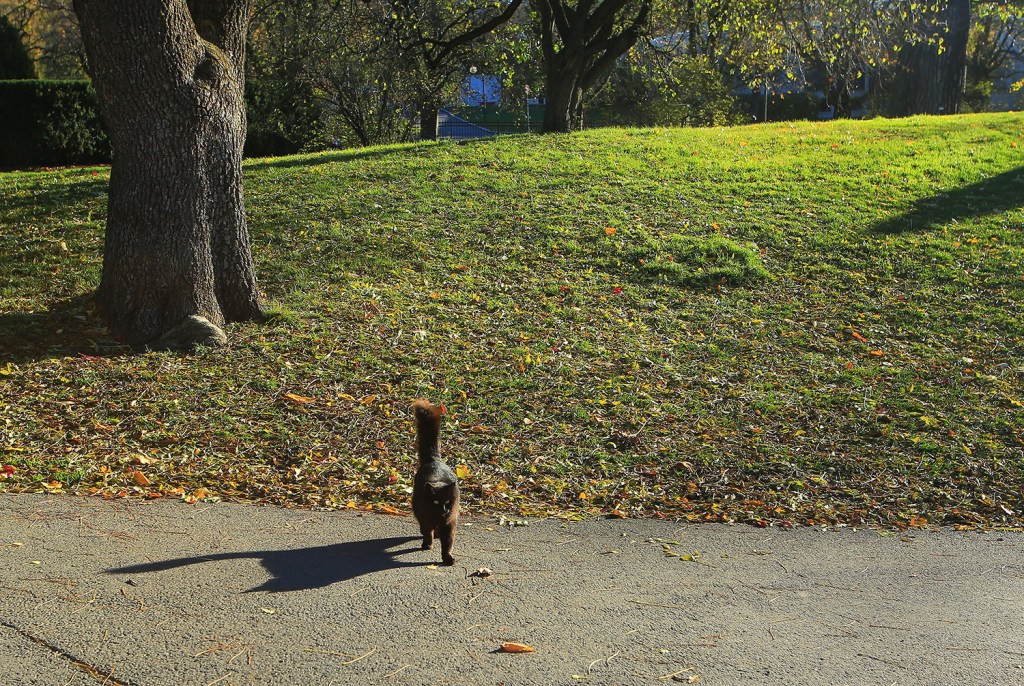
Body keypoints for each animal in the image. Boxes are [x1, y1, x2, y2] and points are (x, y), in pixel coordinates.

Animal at [411, 399, 460, 566]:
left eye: (447, 501)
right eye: (436, 502)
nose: (443, 509)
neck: (438, 518)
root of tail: (434, 460)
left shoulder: (449, 524)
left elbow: (448, 543)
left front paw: (447, 558)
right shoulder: (426, 518)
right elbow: (427, 532)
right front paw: (428, 544)